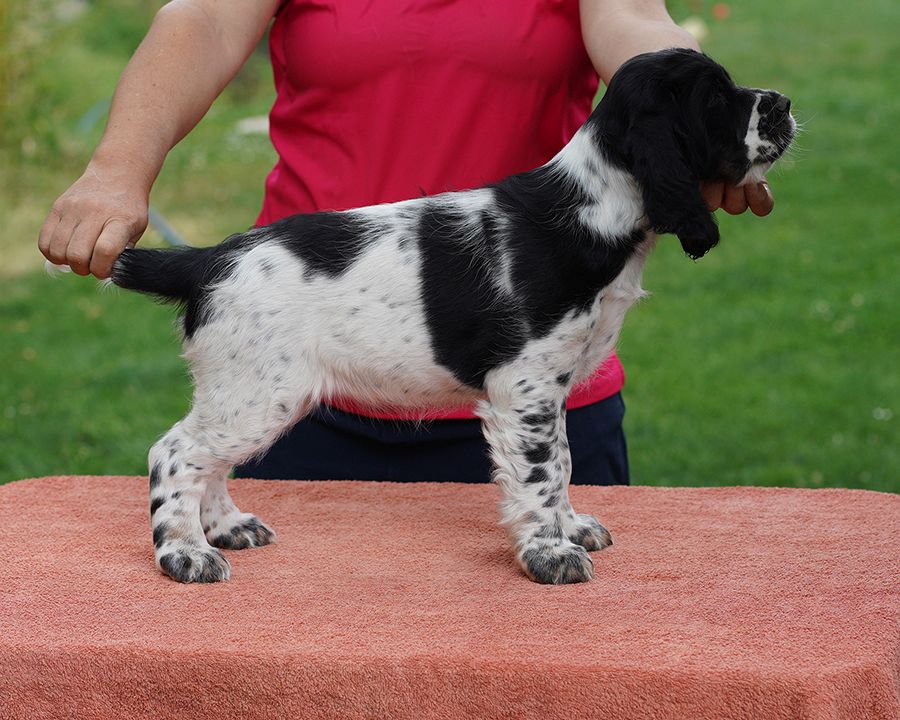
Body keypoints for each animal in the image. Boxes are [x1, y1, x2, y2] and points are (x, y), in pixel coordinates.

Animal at [109, 46, 792, 584]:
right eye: (716, 98)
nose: (783, 103)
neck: (593, 207)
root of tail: (206, 259)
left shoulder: (550, 387)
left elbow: (564, 461)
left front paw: (571, 527)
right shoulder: (525, 385)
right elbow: (542, 473)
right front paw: (550, 554)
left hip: (244, 392)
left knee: (208, 459)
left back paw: (226, 527)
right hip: (256, 389)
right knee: (176, 452)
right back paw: (185, 554)